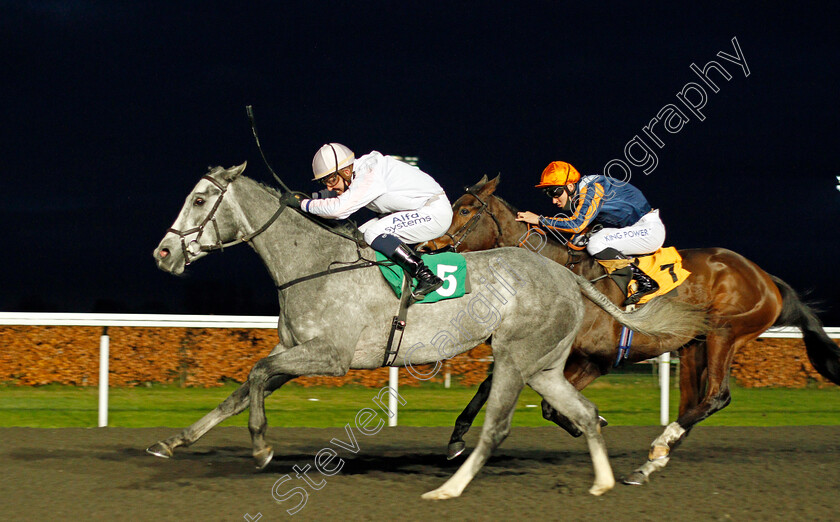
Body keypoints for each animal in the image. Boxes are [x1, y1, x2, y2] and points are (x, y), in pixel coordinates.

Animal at [148, 161, 704, 496]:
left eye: (200, 201)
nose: (164, 253)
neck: (316, 263)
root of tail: (568, 275)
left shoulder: (330, 355)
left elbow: (258, 374)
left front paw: (262, 447)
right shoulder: (298, 351)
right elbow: (241, 391)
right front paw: (172, 442)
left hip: (516, 358)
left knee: (503, 423)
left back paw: (453, 486)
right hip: (542, 365)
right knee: (583, 413)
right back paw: (602, 481)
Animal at [424, 174, 840, 484]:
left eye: (464, 209)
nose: (429, 246)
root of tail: (767, 279)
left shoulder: (598, 360)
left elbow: (549, 406)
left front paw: (594, 422)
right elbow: (494, 387)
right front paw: (456, 440)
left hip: (724, 332)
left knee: (716, 397)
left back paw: (659, 447)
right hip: (694, 344)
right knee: (693, 402)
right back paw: (651, 462)